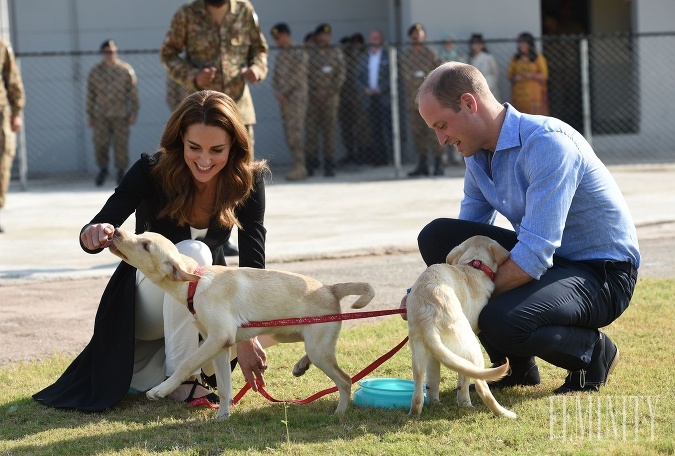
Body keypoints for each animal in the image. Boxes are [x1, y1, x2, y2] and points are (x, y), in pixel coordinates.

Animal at [108, 228, 378, 420]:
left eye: (146, 245)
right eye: (141, 234)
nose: (116, 232)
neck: (195, 284)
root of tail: (331, 289)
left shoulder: (218, 338)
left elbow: (186, 364)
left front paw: (161, 390)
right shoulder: (219, 346)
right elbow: (224, 386)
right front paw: (222, 416)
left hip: (317, 347)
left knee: (345, 380)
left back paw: (339, 413)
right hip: (293, 335)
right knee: (319, 358)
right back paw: (301, 365)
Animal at [406, 237, 516, 418]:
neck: (474, 265)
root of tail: (428, 316)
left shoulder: (435, 355)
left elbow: (433, 378)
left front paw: (435, 401)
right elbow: (463, 379)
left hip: (419, 354)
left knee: (418, 392)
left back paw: (416, 413)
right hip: (471, 347)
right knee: (478, 384)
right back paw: (501, 412)